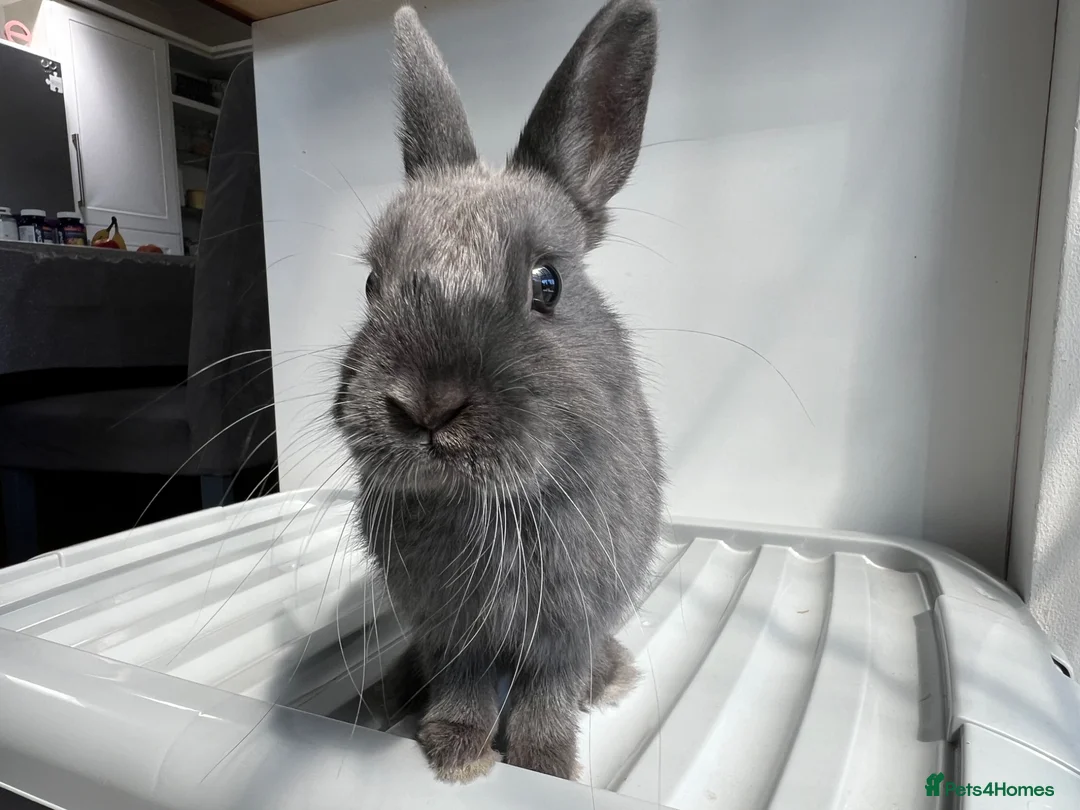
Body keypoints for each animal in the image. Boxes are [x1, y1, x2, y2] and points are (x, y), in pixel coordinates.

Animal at [333, 0, 664, 784]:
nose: (426, 407)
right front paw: (455, 750)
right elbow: (468, 687)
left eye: (547, 283)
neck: (481, 508)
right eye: (373, 284)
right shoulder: (456, 633)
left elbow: (547, 693)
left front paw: (543, 765)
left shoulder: (566, 627)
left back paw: (610, 678)